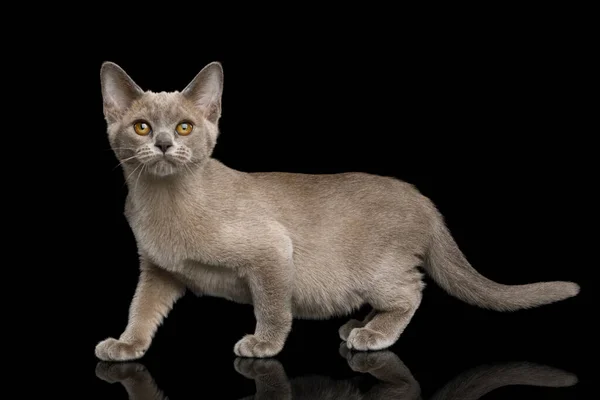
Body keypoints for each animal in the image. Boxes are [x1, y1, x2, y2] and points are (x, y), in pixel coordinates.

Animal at [95, 61, 580, 360]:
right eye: (142, 127)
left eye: (184, 127)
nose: (163, 143)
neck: (164, 201)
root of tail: (423, 200)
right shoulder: (159, 271)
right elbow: (141, 309)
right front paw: (125, 345)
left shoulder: (272, 252)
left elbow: (273, 307)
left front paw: (263, 346)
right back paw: (357, 325)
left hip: (380, 271)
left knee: (413, 292)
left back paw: (371, 334)